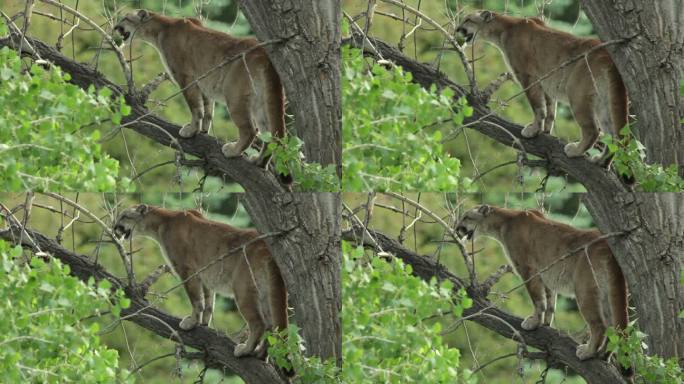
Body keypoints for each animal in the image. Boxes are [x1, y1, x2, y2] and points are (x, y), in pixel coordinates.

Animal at [114, 204, 288, 356]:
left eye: (123, 216)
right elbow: (209, 302)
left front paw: (191, 322)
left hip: (243, 288)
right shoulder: (206, 276)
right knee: (272, 327)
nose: (115, 228)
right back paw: (261, 354)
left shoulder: (187, 270)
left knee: (259, 323)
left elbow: (196, 301)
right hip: (264, 290)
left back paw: (245, 350)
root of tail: (267, 247)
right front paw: (204, 323)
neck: (162, 222)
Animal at [456, 11, 628, 164]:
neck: (505, 28)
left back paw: (575, 151)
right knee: (615, 137)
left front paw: (533, 131)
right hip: (604, 100)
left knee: (593, 130)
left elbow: (538, 108)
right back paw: (601, 161)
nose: (457, 29)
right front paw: (546, 131)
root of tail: (609, 56)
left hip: (577, 94)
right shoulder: (547, 84)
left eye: (467, 20)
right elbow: (551, 110)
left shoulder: (528, 77)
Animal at [456, 206, 628, 358]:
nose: (457, 228)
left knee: (600, 325)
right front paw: (546, 324)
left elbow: (538, 301)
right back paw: (604, 354)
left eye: (465, 217)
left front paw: (534, 323)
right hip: (605, 291)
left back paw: (588, 353)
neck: (505, 221)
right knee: (613, 326)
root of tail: (608, 246)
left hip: (584, 290)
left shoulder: (529, 270)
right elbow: (550, 303)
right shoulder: (548, 277)